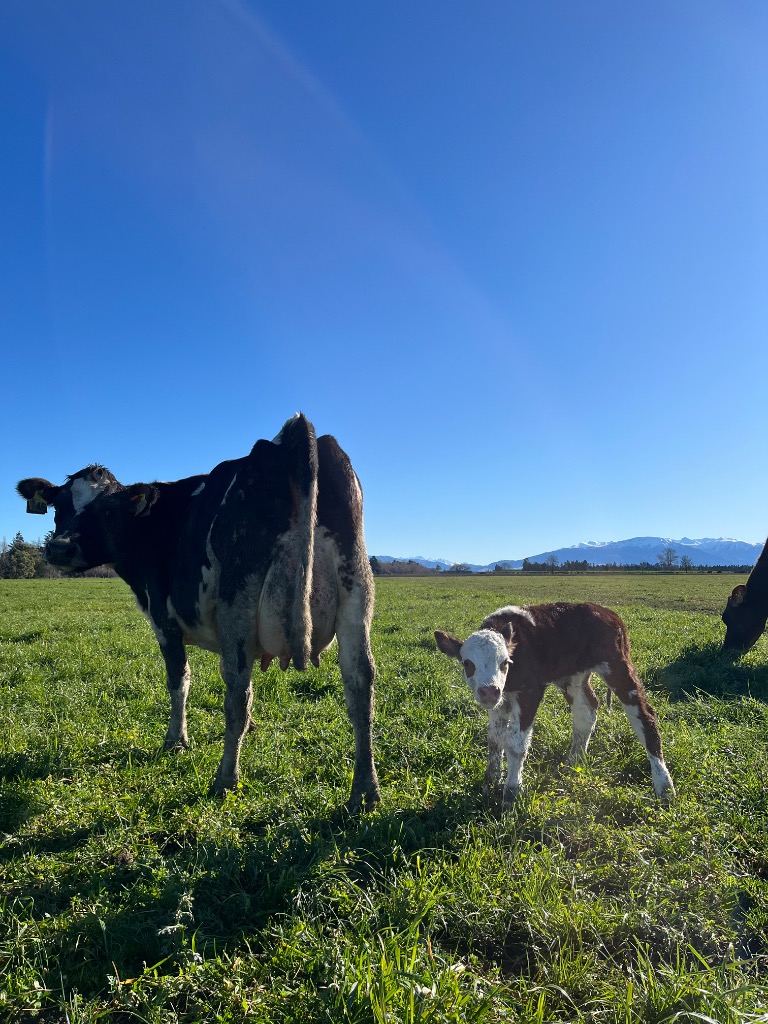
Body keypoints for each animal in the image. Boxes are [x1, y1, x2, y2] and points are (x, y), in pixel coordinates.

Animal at [17, 414, 380, 812]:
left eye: (108, 512)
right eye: (58, 506)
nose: (59, 548)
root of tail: (293, 435)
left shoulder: (164, 621)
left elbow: (180, 680)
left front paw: (176, 740)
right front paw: (250, 731)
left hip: (240, 593)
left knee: (238, 690)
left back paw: (225, 779)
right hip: (356, 586)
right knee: (360, 683)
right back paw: (365, 791)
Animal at [435, 602, 675, 807]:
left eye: (504, 663)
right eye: (467, 663)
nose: (489, 691)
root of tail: (605, 611)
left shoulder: (530, 692)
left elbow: (515, 744)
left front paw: (511, 793)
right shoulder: (500, 703)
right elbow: (495, 740)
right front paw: (490, 784)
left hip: (618, 666)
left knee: (645, 717)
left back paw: (664, 786)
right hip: (573, 677)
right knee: (586, 712)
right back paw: (574, 763)